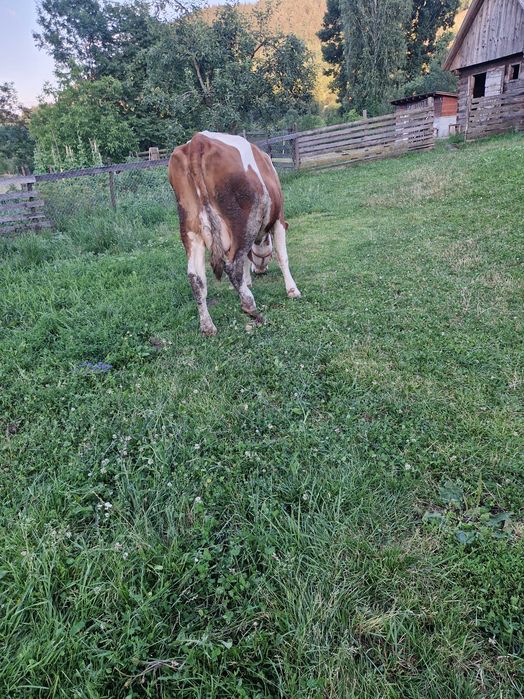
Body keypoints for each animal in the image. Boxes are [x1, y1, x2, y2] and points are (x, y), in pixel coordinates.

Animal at [168, 131, 301, 336]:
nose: (260, 271)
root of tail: (198, 141)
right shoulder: (279, 219)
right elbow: (282, 256)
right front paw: (292, 290)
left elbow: (245, 259)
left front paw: (248, 280)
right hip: (243, 222)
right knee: (231, 266)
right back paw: (251, 308)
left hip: (190, 229)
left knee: (195, 277)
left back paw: (208, 327)